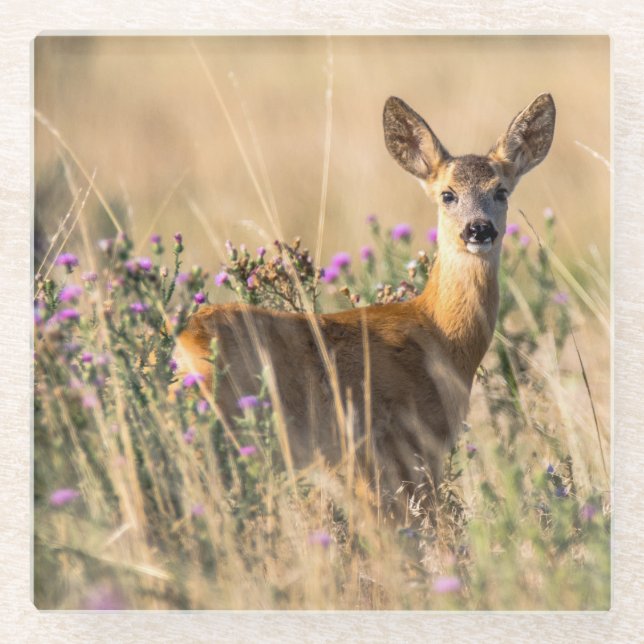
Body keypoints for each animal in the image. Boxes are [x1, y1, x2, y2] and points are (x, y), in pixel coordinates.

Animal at [174, 93, 556, 511]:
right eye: (448, 194)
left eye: (501, 191)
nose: (479, 229)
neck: (440, 336)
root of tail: (184, 341)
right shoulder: (400, 448)